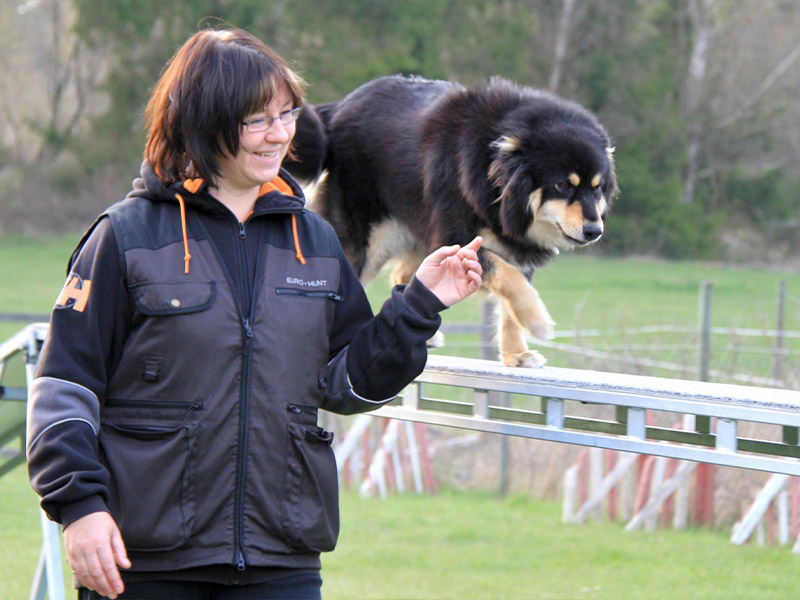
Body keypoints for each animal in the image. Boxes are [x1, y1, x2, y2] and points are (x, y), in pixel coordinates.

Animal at [288, 75, 620, 366]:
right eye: (563, 185)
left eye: (596, 188)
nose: (594, 231)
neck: (494, 176)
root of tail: (338, 110)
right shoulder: (457, 240)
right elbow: (509, 277)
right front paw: (536, 321)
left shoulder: (511, 245)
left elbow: (511, 297)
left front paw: (516, 354)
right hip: (369, 240)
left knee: (404, 275)